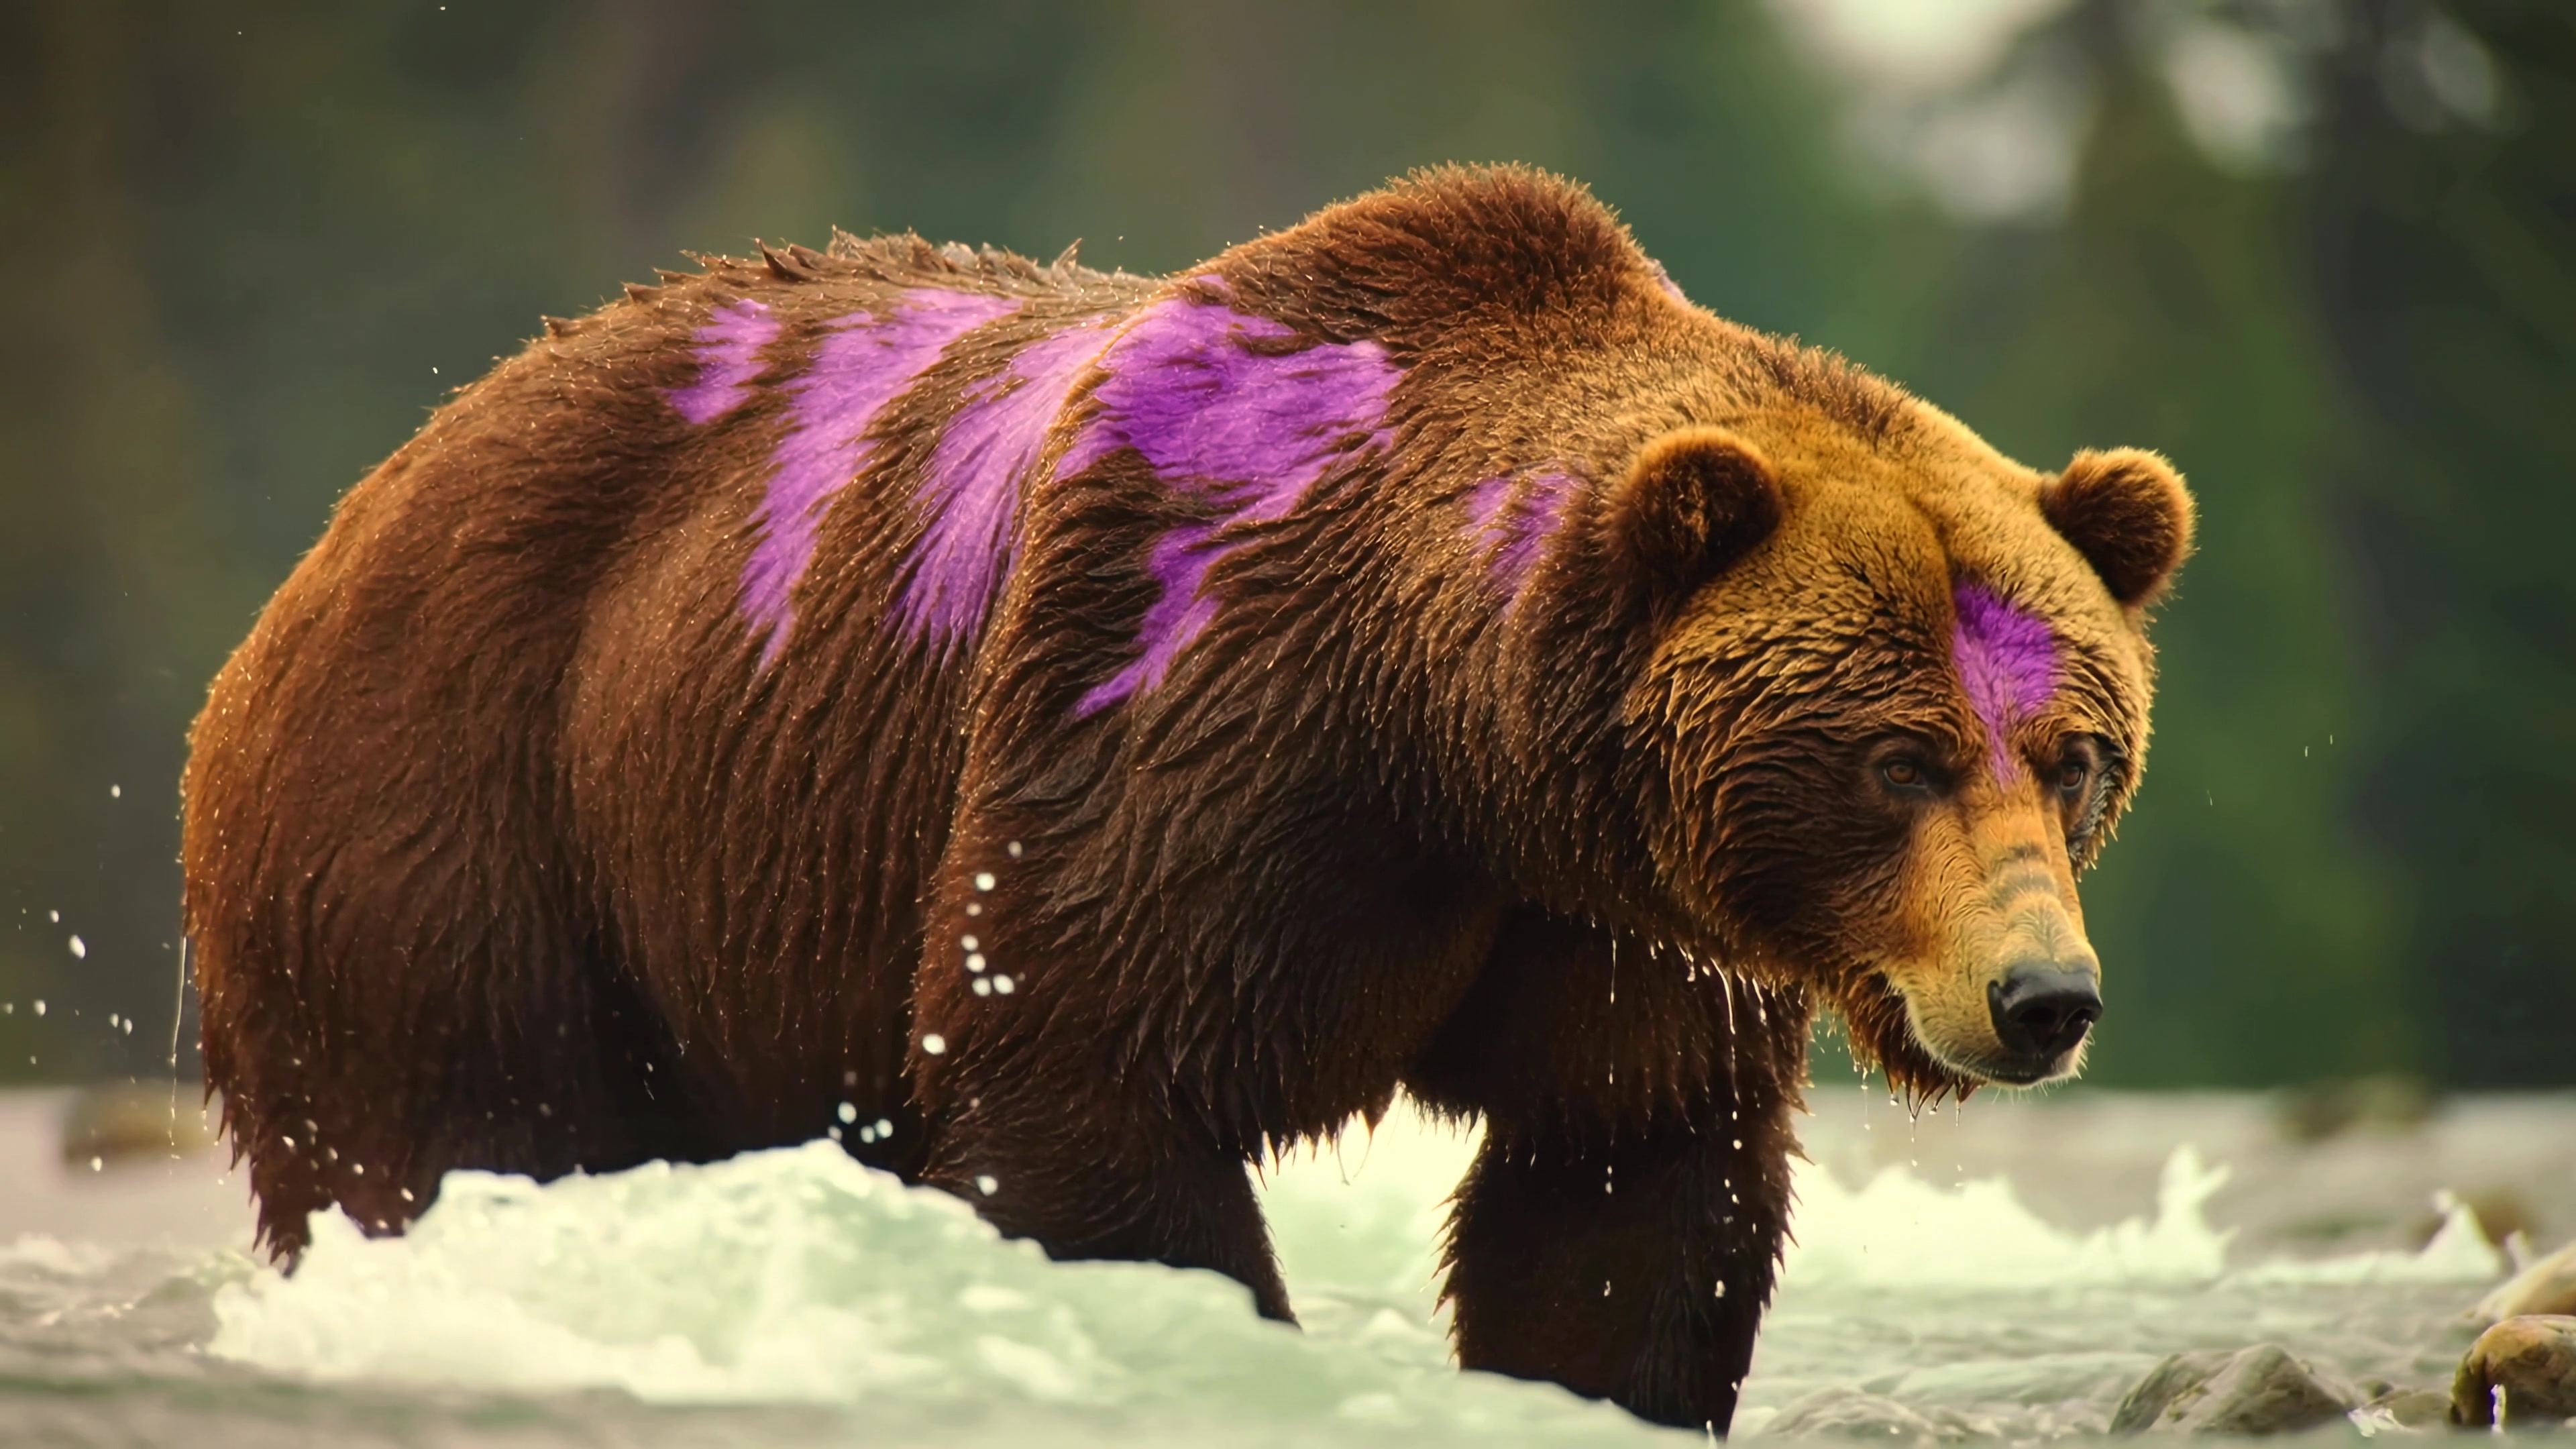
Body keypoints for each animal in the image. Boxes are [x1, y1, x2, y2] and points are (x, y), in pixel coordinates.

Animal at [181, 165, 2191, 1433]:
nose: (2040, 996)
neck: (1443, 735)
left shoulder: (1608, 923)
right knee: (448, 1136)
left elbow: (1622, 1187)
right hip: (463, 808)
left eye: (2073, 753)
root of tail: (353, 513)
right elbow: (1086, 1085)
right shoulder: (1173, 716)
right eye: (1895, 753)